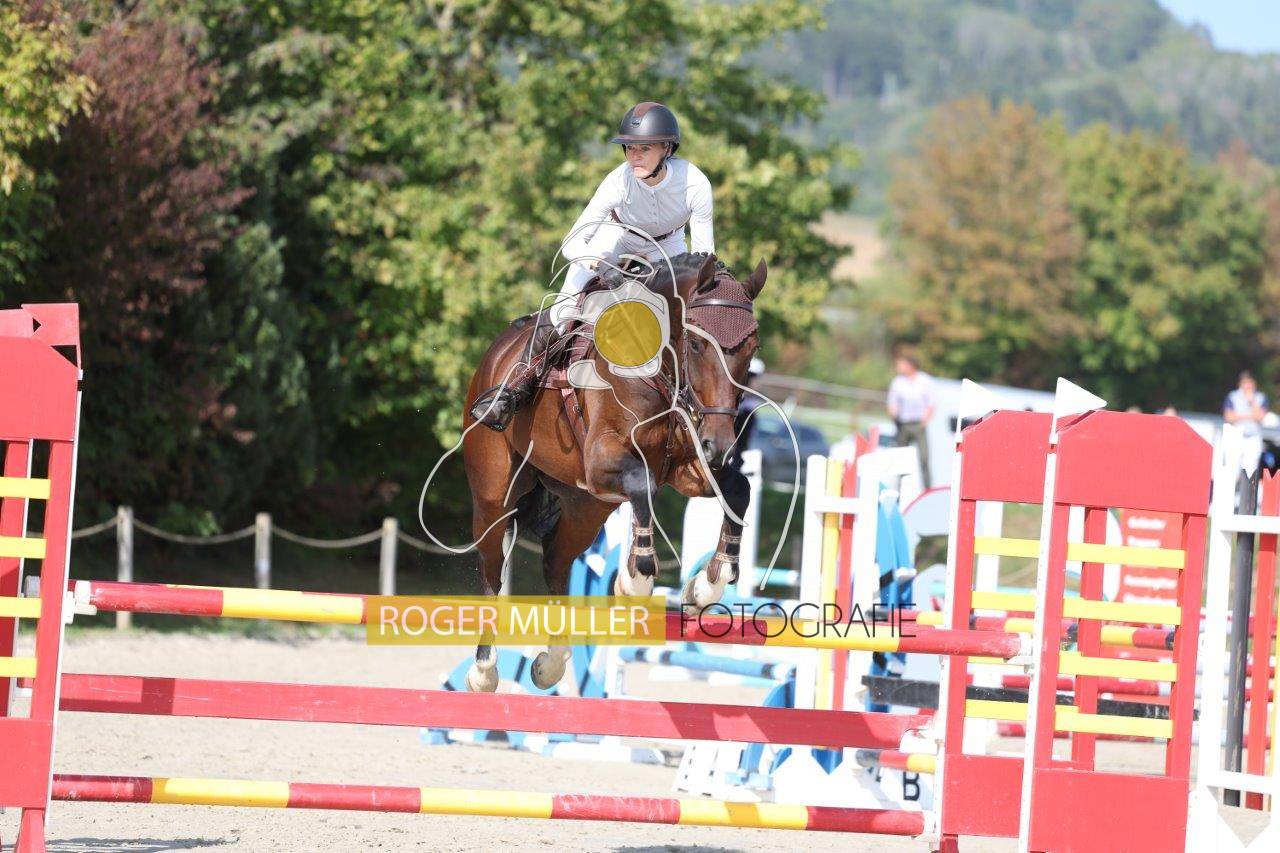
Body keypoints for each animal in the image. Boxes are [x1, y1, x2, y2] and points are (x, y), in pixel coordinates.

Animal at [460, 251, 766, 692]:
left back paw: (550, 664)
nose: (720, 446)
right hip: (493, 494)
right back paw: (484, 671)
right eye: (696, 343)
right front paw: (634, 581)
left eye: (752, 348)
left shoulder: (688, 467)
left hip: (585, 507)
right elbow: (643, 485)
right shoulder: (603, 459)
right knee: (491, 570)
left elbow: (739, 489)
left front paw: (706, 586)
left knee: (555, 560)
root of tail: (497, 352)